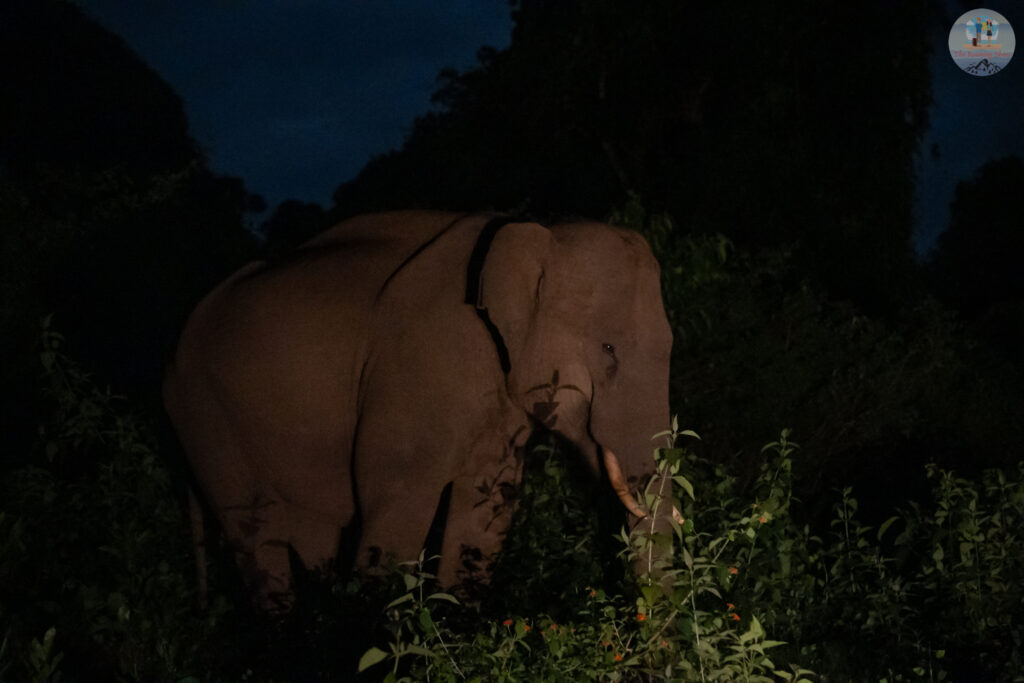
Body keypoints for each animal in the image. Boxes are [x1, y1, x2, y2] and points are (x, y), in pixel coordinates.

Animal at [163, 211, 673, 612]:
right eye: (608, 349)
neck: (538, 234)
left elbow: (486, 511)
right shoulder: (415, 368)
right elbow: (397, 499)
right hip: (206, 419)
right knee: (257, 533)